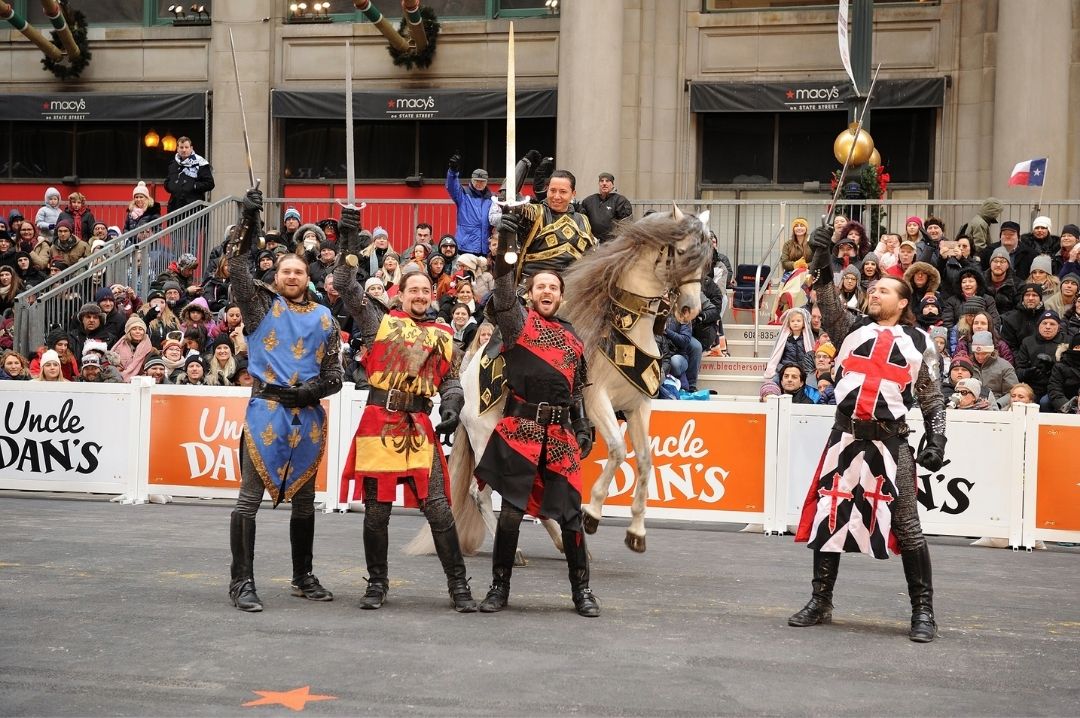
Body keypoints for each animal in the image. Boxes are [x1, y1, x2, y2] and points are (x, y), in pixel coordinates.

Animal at [401, 206, 712, 552]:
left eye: (706, 260)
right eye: (681, 252)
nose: (690, 309)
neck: (624, 331)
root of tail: (465, 378)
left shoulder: (637, 406)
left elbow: (645, 462)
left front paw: (636, 531)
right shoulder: (597, 401)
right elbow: (618, 450)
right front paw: (592, 513)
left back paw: (563, 541)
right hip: (485, 437)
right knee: (481, 492)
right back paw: (519, 549)